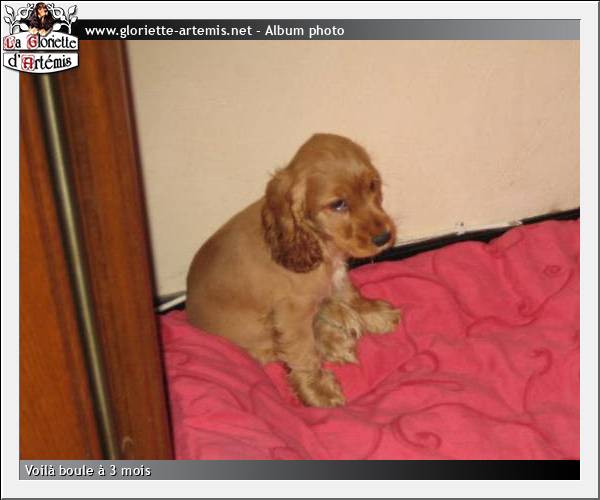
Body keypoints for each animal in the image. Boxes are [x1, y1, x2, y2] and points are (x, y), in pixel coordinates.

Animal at [186, 133, 400, 407]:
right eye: (338, 204)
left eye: (372, 185)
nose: (385, 237)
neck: (319, 242)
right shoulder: (291, 312)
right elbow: (302, 352)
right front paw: (318, 391)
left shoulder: (337, 274)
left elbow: (348, 292)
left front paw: (371, 312)